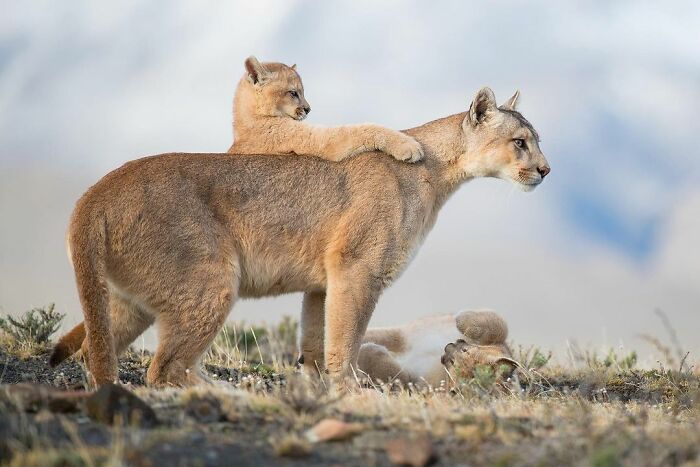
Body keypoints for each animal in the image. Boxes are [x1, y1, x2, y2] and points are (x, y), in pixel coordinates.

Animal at [228, 56, 424, 163]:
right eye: (293, 93)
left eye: (303, 91)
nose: (308, 109)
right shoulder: (314, 139)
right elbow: (361, 129)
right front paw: (409, 146)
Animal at [357, 310, 517, 386]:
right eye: (465, 351)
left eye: (453, 364)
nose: (449, 348)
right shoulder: (405, 334)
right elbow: (497, 325)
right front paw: (461, 319)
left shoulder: (414, 383)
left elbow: (395, 376)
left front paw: (366, 353)